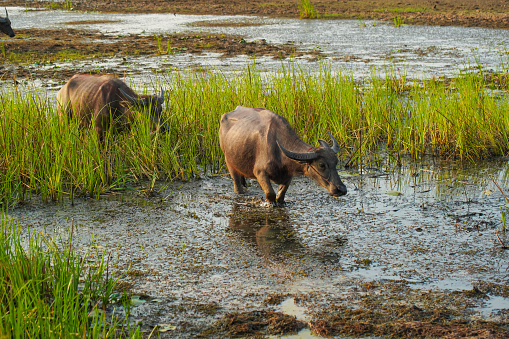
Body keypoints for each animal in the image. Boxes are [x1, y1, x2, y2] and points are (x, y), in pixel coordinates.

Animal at [216, 106, 348, 203]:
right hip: (229, 161)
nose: (341, 189)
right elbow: (270, 194)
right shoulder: (260, 173)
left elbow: (280, 196)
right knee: (237, 183)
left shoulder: (288, 176)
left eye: (336, 162)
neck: (279, 152)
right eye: (321, 165)